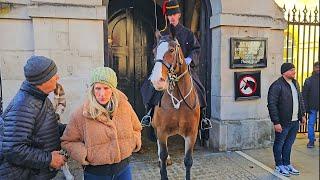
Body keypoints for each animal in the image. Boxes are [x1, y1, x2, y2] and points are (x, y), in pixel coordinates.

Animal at [149, 35, 200, 180]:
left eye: (171, 50)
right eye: (154, 51)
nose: (156, 80)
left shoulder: (191, 133)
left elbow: (188, 160)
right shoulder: (161, 131)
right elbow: (163, 155)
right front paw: (163, 166)